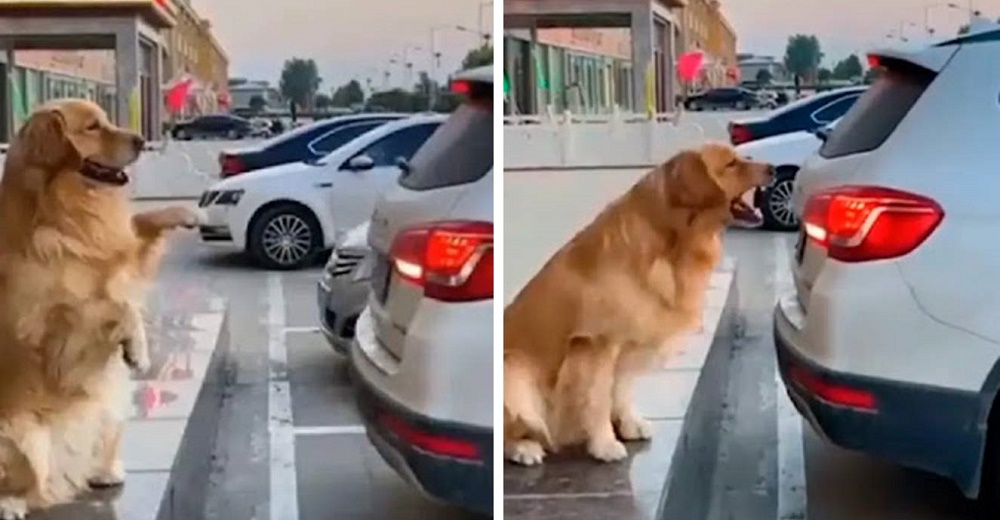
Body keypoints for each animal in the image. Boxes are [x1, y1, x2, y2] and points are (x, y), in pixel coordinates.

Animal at [0, 98, 201, 516]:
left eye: (106, 119)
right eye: (92, 127)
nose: (140, 139)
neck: (66, 214)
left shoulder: (119, 258)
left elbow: (139, 227)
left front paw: (186, 213)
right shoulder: (53, 339)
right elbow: (113, 307)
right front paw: (138, 348)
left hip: (110, 404)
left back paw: (103, 470)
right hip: (18, 437)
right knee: (28, 485)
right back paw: (10, 501)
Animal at [508, 143, 772, 468]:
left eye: (741, 157)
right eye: (731, 164)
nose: (774, 168)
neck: (674, 242)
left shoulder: (627, 342)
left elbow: (620, 389)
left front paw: (629, 425)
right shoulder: (596, 344)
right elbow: (597, 399)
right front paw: (605, 443)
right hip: (515, 370)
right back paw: (524, 447)